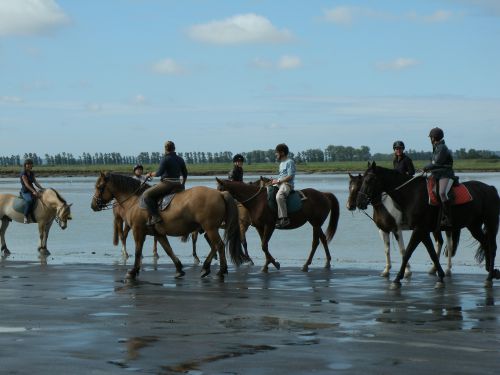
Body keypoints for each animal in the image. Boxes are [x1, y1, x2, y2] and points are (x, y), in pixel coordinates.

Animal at [92, 173, 246, 280]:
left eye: (99, 187)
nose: (93, 205)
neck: (134, 201)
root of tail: (220, 193)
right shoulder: (159, 234)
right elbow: (168, 250)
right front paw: (179, 269)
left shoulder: (138, 231)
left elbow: (138, 251)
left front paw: (133, 271)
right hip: (209, 229)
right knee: (215, 246)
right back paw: (206, 268)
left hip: (210, 228)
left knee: (219, 245)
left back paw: (220, 271)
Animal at [358, 163, 498, 290]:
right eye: (362, 180)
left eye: (369, 180)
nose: (360, 202)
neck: (411, 194)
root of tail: (490, 188)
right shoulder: (422, 231)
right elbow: (431, 253)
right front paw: (440, 277)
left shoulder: (416, 229)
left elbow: (407, 252)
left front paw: (397, 278)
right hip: (473, 226)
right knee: (485, 243)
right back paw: (491, 272)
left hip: (490, 223)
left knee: (491, 247)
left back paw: (489, 277)